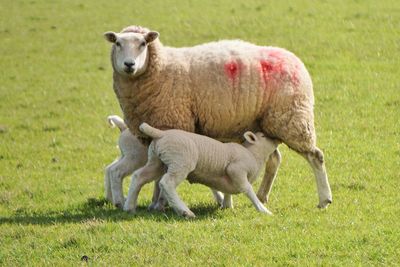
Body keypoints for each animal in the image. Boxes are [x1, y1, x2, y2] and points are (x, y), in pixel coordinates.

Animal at [123, 123, 280, 218]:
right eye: (264, 136)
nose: (276, 137)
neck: (253, 154)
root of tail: (161, 134)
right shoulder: (236, 169)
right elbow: (247, 189)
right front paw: (263, 210)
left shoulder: (232, 177)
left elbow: (228, 191)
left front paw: (227, 206)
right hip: (181, 162)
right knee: (167, 183)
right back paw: (185, 211)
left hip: (157, 162)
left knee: (138, 176)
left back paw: (129, 207)